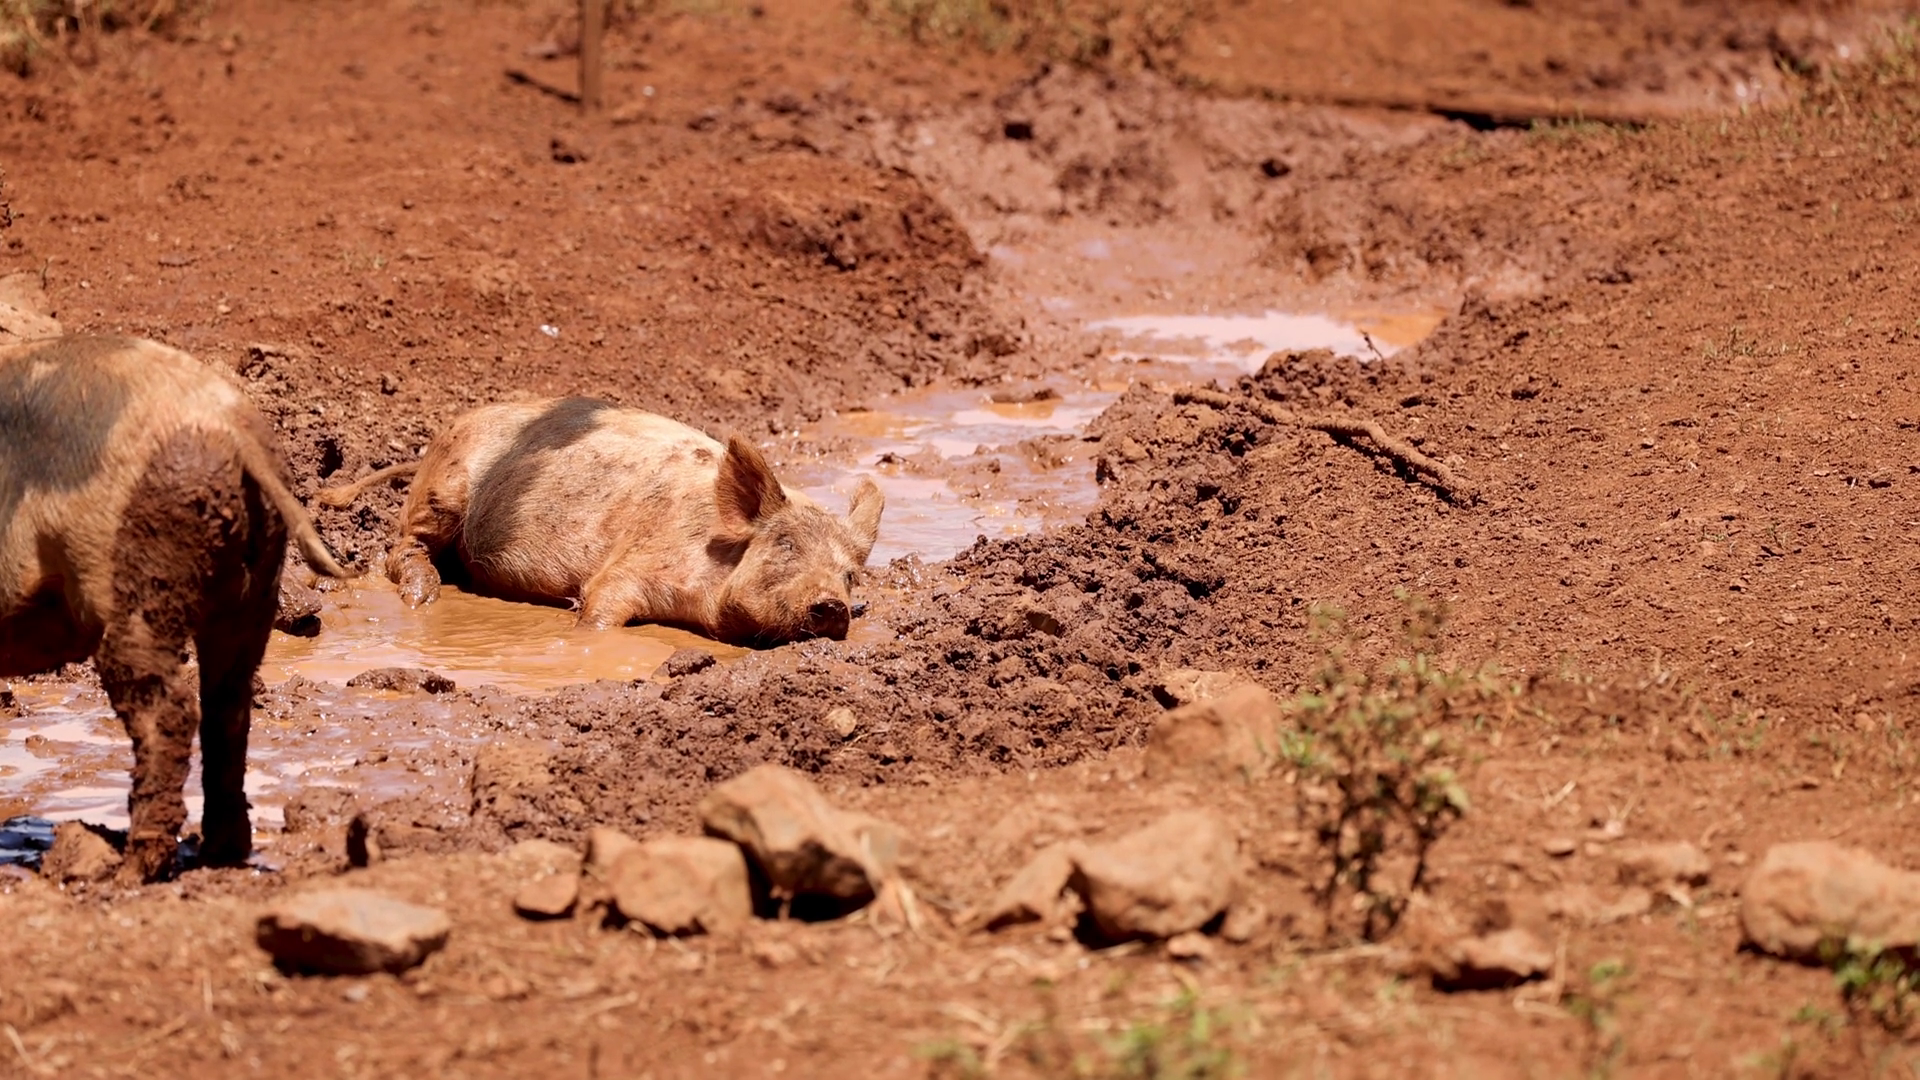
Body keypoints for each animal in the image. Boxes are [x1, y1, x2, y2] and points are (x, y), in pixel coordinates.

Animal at [1, 335, 352, 882]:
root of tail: (231, 429)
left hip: (135, 578)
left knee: (168, 709)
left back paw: (132, 868)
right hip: (253, 592)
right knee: (229, 707)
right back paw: (223, 853)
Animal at [318, 398, 884, 646]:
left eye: (851, 573)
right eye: (785, 545)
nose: (832, 604)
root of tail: (442, 435)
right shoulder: (628, 567)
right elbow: (600, 608)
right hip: (445, 490)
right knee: (401, 548)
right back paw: (424, 596)